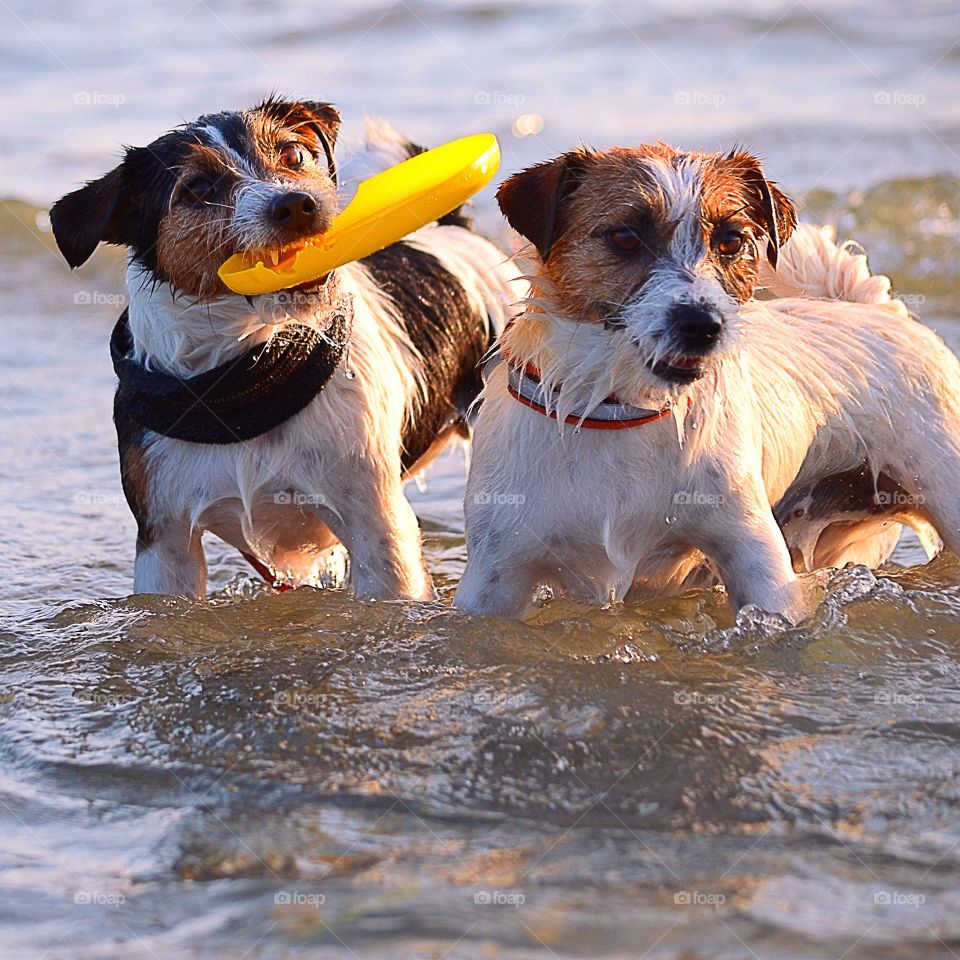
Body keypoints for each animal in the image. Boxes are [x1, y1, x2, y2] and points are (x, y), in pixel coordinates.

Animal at [48, 101, 520, 604]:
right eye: (198, 188)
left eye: (293, 155)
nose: (295, 204)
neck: (243, 384)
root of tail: (454, 232)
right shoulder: (163, 541)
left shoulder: (379, 529)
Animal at [456, 144, 960, 624]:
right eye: (625, 236)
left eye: (731, 240)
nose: (702, 324)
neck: (621, 408)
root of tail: (875, 310)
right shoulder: (496, 572)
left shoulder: (754, 555)